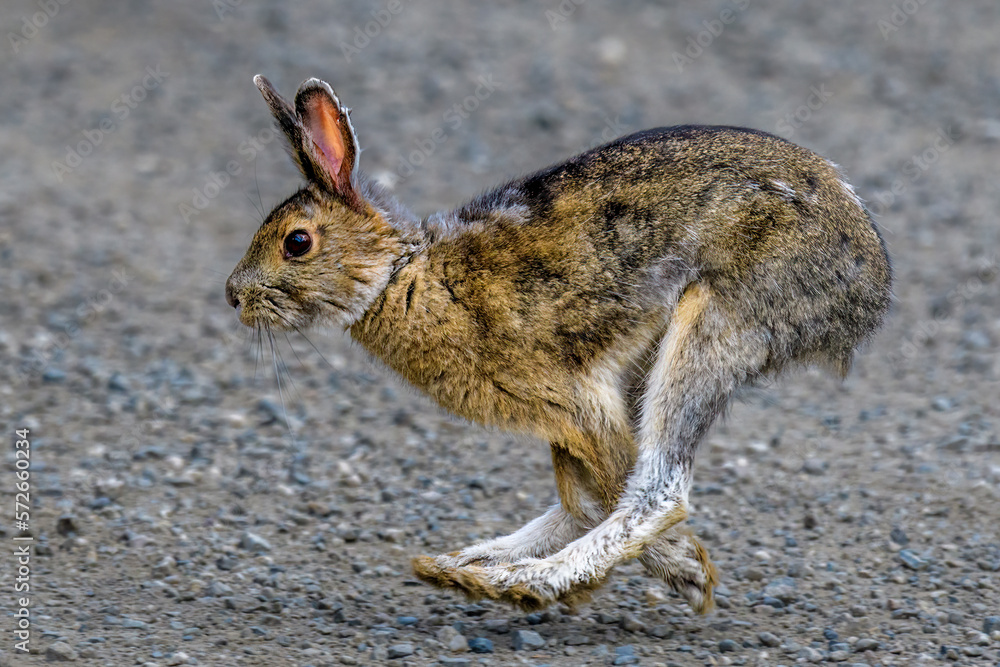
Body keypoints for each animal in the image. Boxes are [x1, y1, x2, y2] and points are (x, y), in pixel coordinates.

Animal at [225, 75, 892, 613]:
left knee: (658, 491)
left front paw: (686, 571)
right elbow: (585, 498)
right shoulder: (564, 422)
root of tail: (871, 280)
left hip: (715, 322)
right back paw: (467, 568)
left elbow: (618, 491)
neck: (402, 276)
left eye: (297, 242)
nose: (233, 296)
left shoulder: (577, 403)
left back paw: (524, 582)